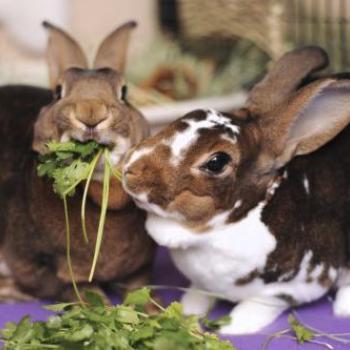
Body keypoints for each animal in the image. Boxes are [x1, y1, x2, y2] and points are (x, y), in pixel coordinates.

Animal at [0, 20, 154, 302]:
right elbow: (86, 294)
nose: (90, 112)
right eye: (58, 92)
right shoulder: (49, 267)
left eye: (124, 92)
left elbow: (142, 291)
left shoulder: (141, 269)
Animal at [122, 46, 350, 334]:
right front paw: (188, 311)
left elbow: (260, 304)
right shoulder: (203, 284)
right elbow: (198, 295)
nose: (130, 170)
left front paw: (232, 327)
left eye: (217, 161)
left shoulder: (291, 287)